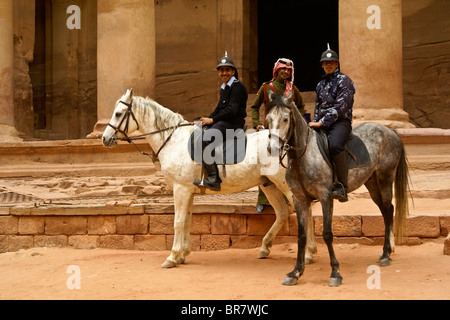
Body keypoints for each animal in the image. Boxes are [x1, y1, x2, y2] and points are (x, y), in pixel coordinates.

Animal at [102, 89, 316, 268]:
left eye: (119, 114)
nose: (104, 138)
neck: (174, 140)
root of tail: (289, 143)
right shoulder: (188, 191)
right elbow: (187, 221)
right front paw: (182, 255)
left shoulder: (180, 189)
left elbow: (178, 221)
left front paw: (172, 257)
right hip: (268, 184)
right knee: (282, 212)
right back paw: (266, 247)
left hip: (283, 184)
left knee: (304, 210)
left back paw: (308, 253)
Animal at [268, 92, 412, 288]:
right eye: (268, 119)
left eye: (285, 119)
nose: (273, 148)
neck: (302, 157)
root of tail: (390, 131)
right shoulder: (299, 200)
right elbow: (301, 236)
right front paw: (295, 272)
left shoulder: (325, 197)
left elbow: (327, 234)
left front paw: (335, 272)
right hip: (372, 182)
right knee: (385, 210)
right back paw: (387, 251)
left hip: (385, 178)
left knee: (389, 210)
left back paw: (386, 254)